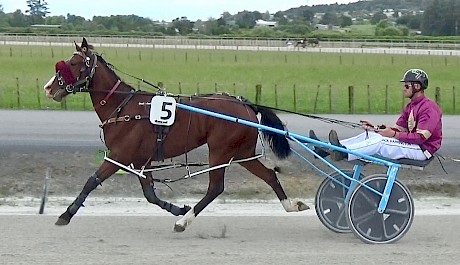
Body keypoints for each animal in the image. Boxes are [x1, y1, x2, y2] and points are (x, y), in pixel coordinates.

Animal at [43, 37, 310, 231]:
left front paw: (65, 214)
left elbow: (91, 181)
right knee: (269, 175)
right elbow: (150, 195)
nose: (48, 88)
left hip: (220, 151)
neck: (123, 107)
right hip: (242, 153)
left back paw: (184, 222)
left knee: (216, 188)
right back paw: (291, 205)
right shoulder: (140, 161)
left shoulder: (119, 155)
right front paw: (178, 208)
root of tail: (245, 104)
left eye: (74, 63)